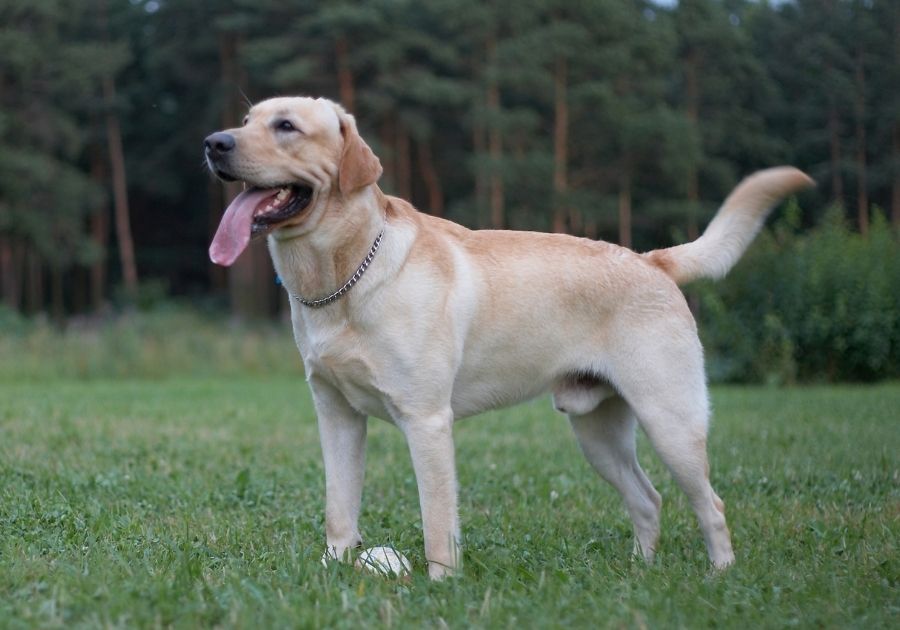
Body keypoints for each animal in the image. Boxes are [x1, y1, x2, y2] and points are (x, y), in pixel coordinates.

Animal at [206, 96, 816, 580]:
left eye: (286, 126)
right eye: (246, 120)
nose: (214, 142)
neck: (343, 277)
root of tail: (652, 260)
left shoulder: (427, 421)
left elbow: (437, 520)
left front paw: (440, 585)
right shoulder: (335, 415)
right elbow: (339, 508)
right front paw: (333, 573)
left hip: (671, 421)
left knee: (710, 503)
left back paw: (720, 576)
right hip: (598, 432)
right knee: (648, 500)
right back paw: (639, 572)